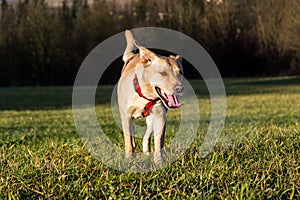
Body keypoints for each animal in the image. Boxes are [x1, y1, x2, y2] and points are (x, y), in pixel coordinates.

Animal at [116, 30, 183, 163]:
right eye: (163, 73)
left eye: (180, 73)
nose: (180, 88)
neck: (145, 95)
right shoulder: (126, 116)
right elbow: (128, 142)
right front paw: (129, 160)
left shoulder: (160, 117)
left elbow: (158, 142)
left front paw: (159, 163)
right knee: (132, 135)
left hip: (151, 120)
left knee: (146, 137)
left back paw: (146, 151)